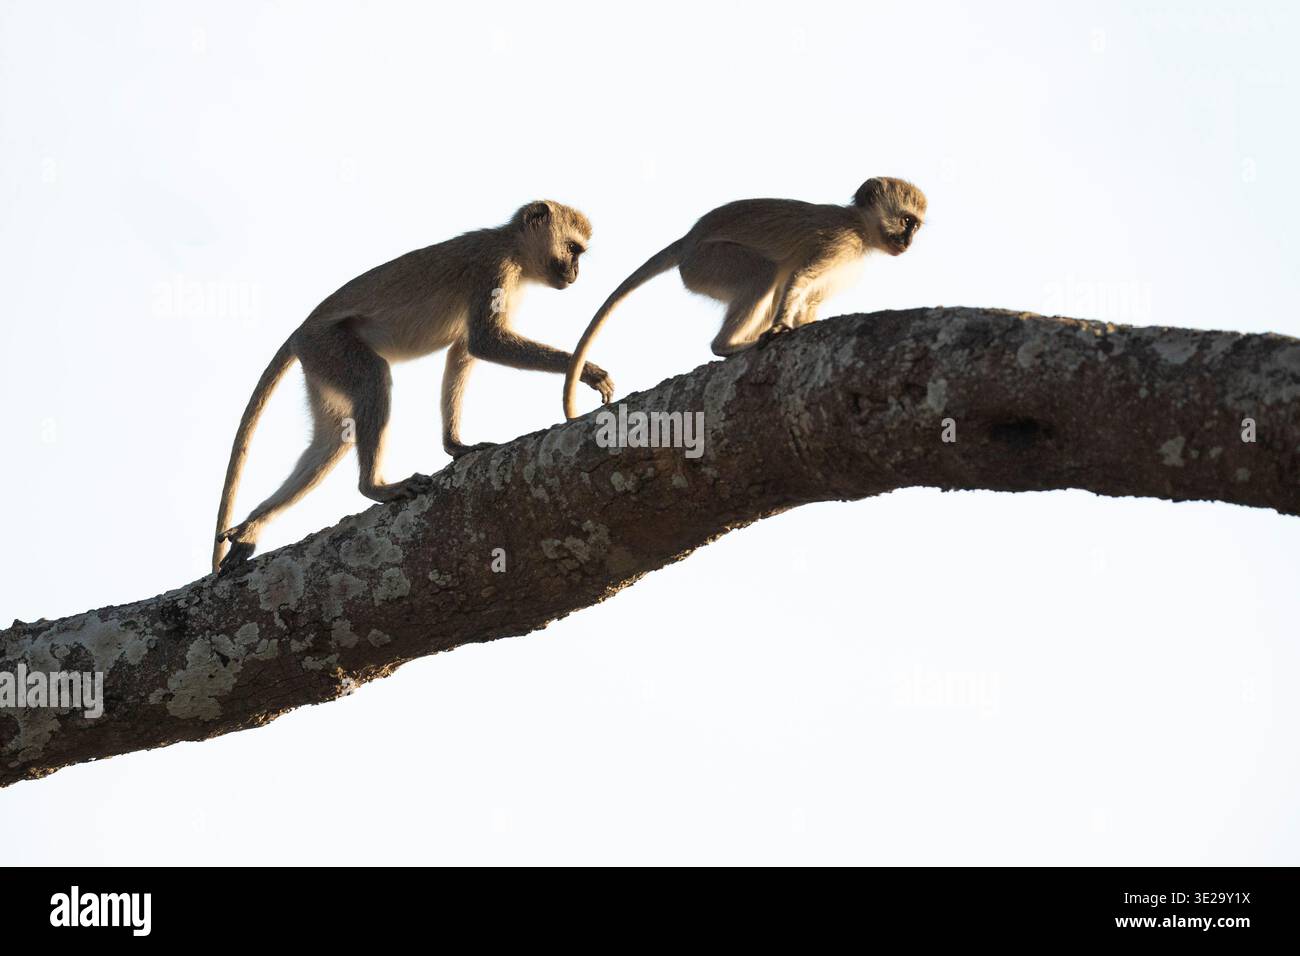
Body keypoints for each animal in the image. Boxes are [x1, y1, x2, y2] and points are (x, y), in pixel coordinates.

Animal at [213, 199, 614, 573]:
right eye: (573, 249)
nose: (575, 273)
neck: (512, 246)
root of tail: (300, 331)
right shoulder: (494, 269)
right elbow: (485, 342)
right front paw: (589, 371)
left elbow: (462, 352)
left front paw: (456, 445)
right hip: (328, 344)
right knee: (373, 379)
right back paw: (375, 488)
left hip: (319, 362)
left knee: (334, 439)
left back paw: (252, 526)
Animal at [562, 177, 927, 419]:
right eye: (907, 221)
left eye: (916, 227)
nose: (909, 242)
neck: (860, 227)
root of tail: (689, 240)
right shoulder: (839, 243)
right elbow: (799, 277)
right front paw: (780, 328)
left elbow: (807, 302)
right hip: (708, 263)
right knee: (764, 274)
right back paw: (729, 345)